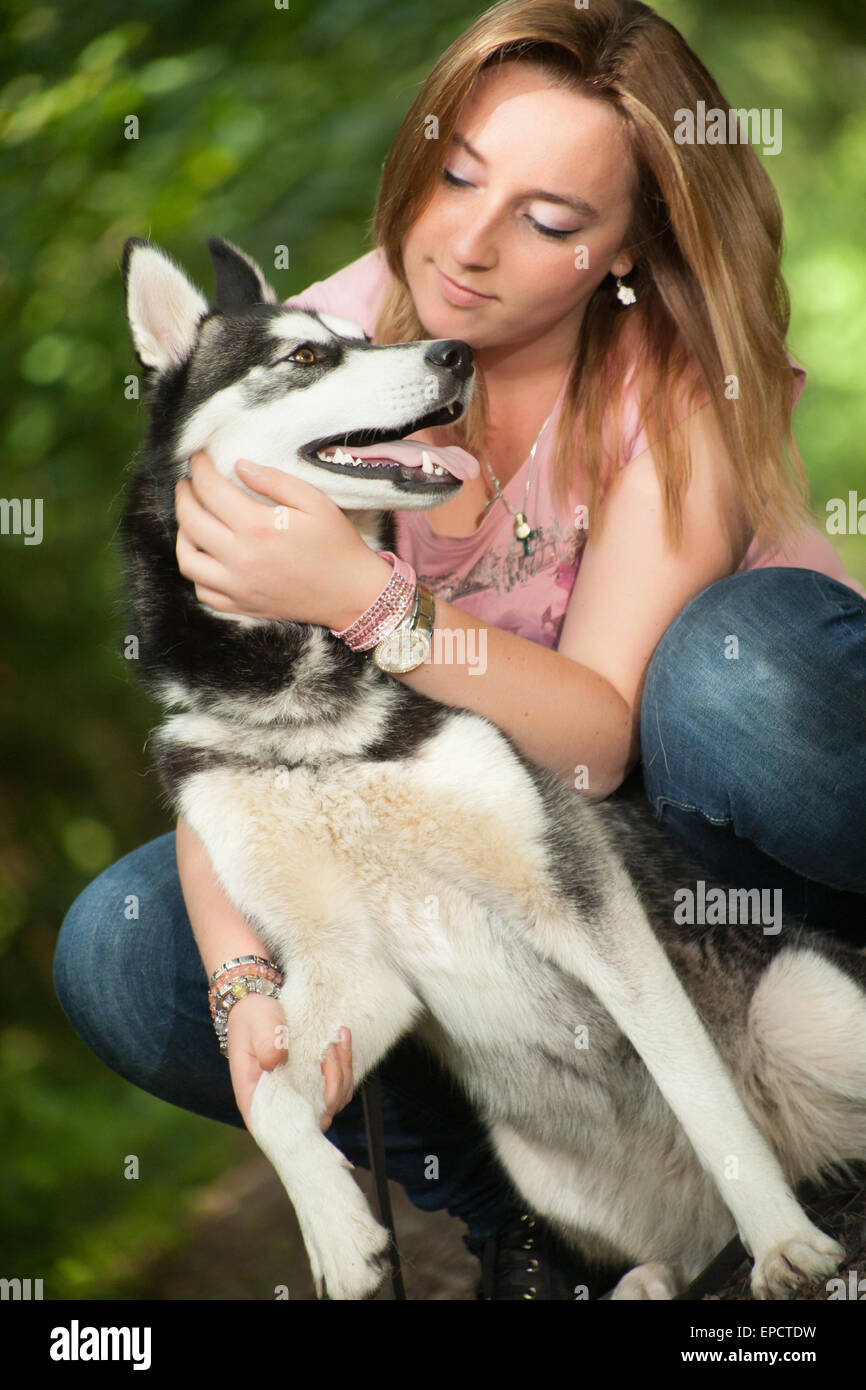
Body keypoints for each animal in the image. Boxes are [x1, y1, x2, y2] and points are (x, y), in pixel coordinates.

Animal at [120, 233, 866, 1295]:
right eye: (305, 356)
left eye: (360, 337)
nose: (454, 353)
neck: (308, 704)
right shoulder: (349, 966)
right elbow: (266, 1097)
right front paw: (337, 1234)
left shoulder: (581, 903)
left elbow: (697, 1085)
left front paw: (783, 1245)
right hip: (546, 1173)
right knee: (661, 1258)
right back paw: (638, 1281)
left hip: (808, 1004)